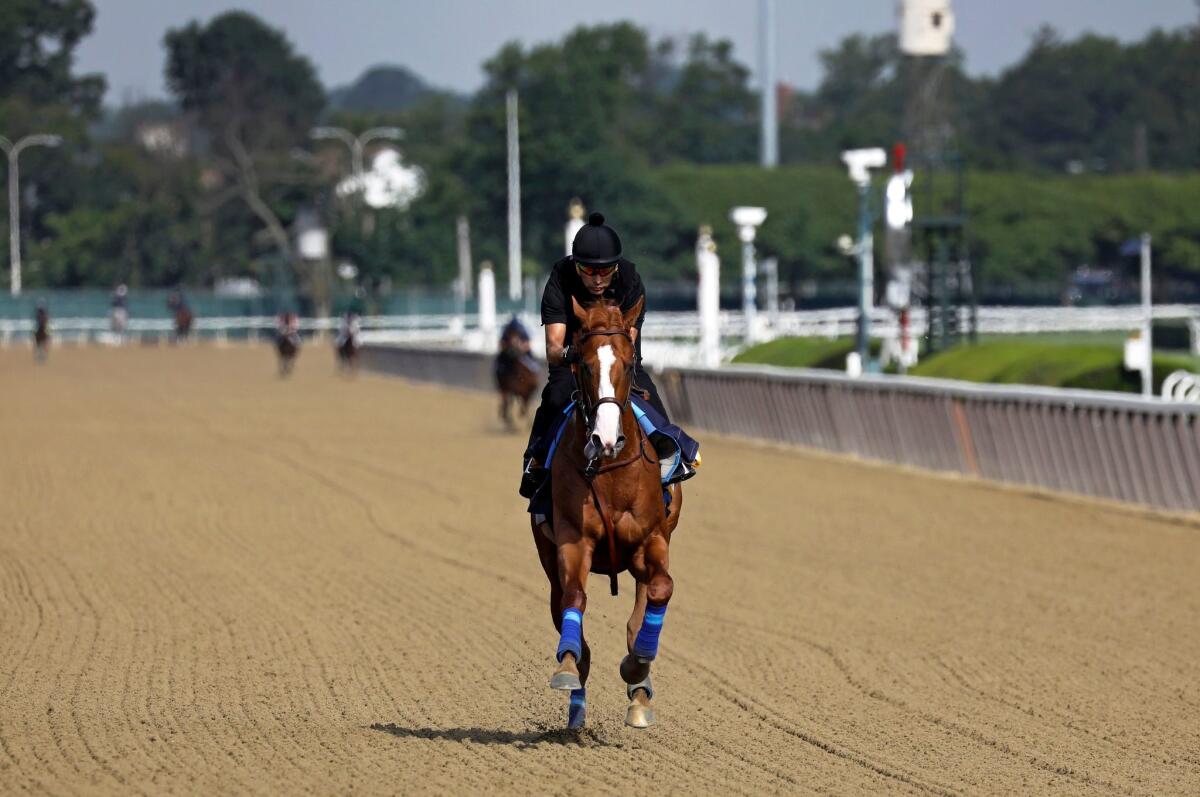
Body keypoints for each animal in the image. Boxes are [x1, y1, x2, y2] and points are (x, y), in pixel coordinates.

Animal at [530, 297, 681, 729]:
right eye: (583, 365)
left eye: (629, 365)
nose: (606, 438)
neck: (610, 471)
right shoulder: (572, 540)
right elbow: (574, 598)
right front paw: (567, 667)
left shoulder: (651, 540)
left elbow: (661, 590)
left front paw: (637, 667)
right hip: (546, 555)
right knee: (561, 603)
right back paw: (576, 706)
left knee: (640, 609)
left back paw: (640, 693)